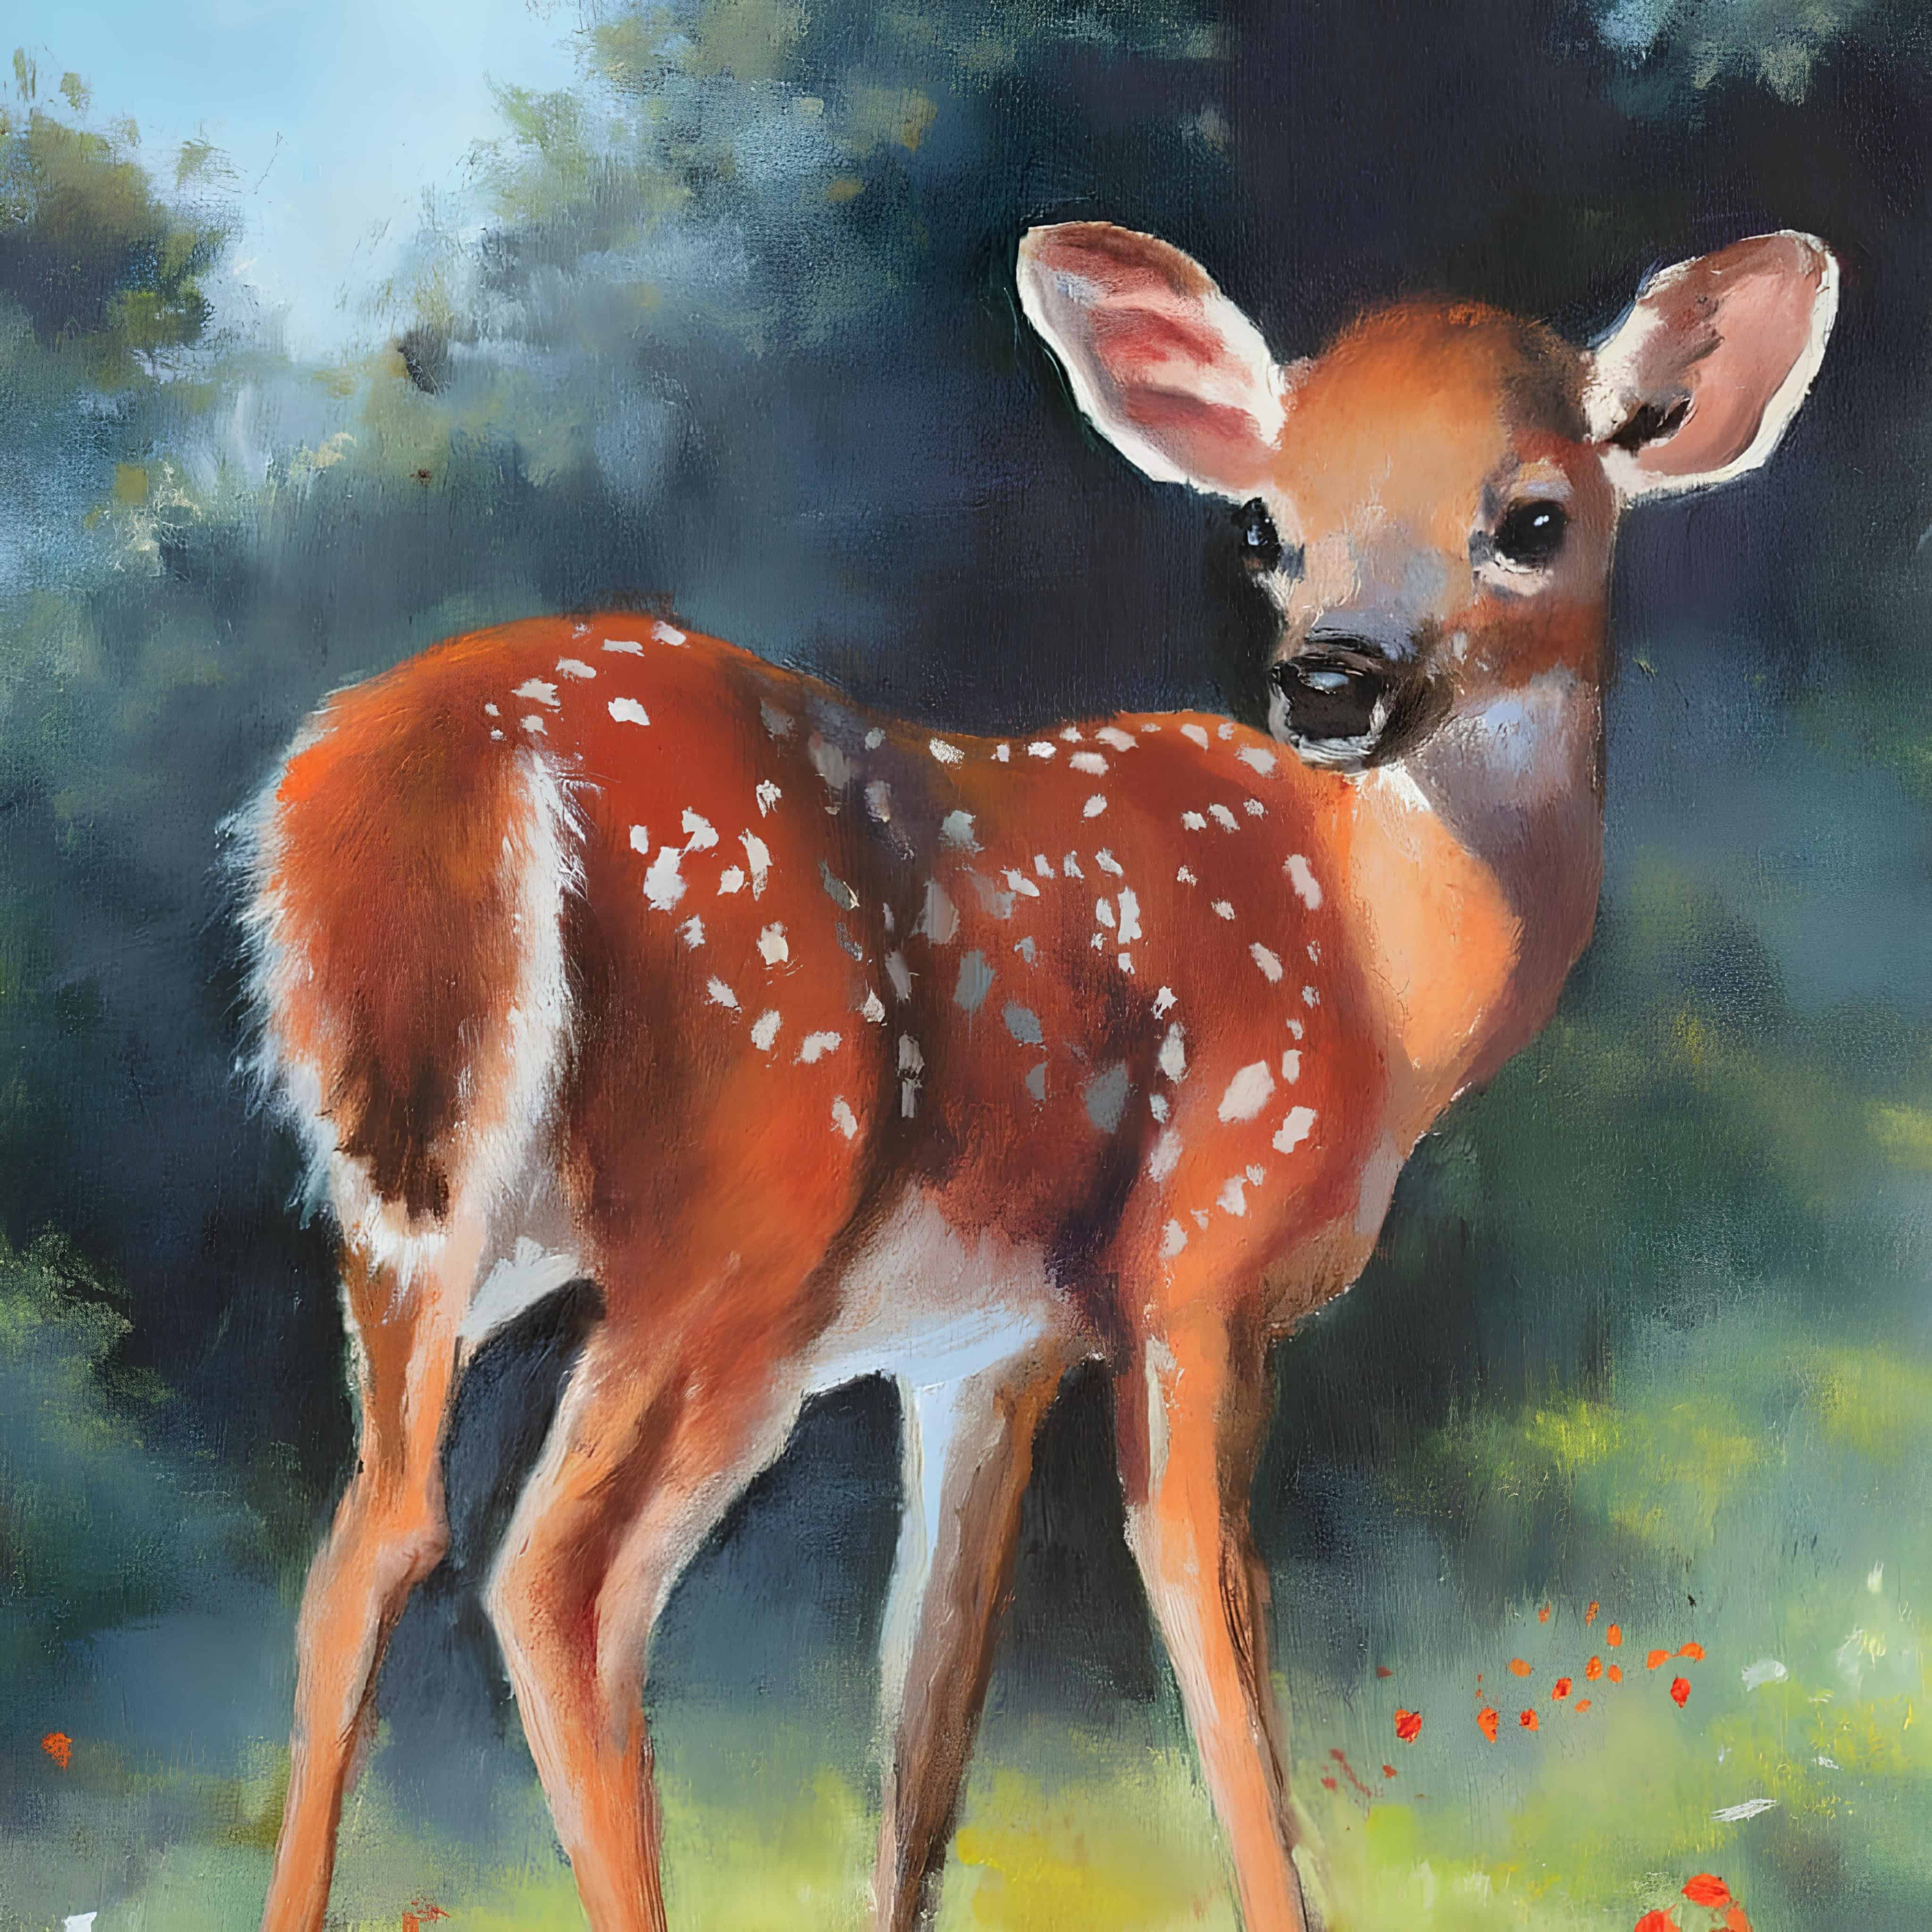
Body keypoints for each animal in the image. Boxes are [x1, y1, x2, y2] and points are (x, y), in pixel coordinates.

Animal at [243, 219, 1836, 1932]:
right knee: (558, 1577)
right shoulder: (1192, 1264)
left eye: (1533, 519)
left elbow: (928, 1718)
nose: (1329, 681)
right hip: (742, 1213)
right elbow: (1209, 1622)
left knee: (368, 1537)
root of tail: (440, 762)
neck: (1378, 978)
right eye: (1265, 524)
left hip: (407, 1220)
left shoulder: (984, 1345)